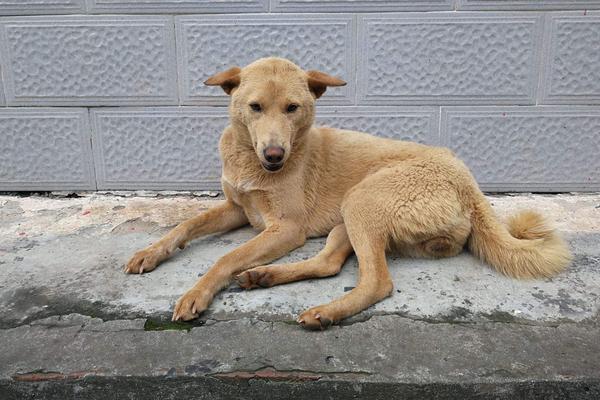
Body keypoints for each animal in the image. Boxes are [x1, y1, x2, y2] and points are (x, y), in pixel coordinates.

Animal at [123, 57, 572, 332]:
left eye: (293, 108)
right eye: (254, 107)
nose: (275, 155)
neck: (250, 158)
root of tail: (469, 183)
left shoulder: (286, 228)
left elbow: (225, 257)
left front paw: (197, 293)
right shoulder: (238, 208)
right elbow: (185, 225)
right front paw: (150, 252)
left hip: (362, 201)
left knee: (377, 283)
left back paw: (323, 312)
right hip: (347, 220)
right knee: (329, 264)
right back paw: (264, 276)